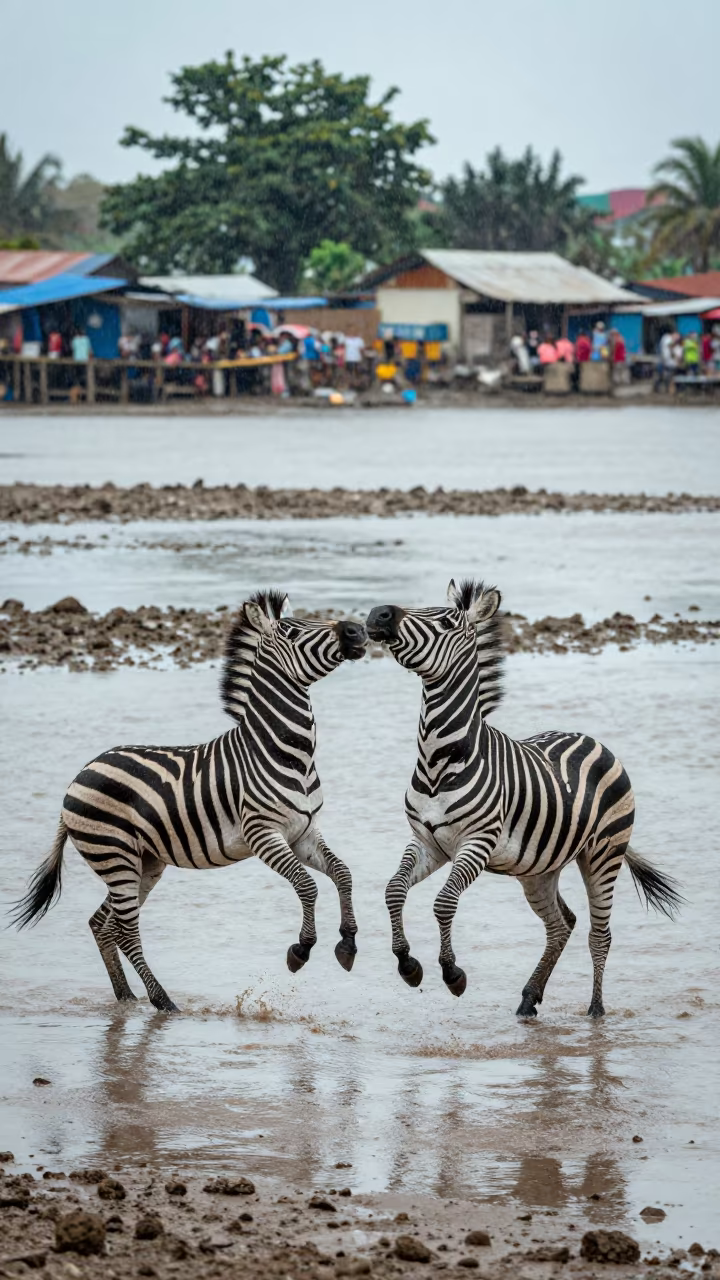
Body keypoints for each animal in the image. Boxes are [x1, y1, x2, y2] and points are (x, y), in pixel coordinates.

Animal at [13, 591, 367, 1012]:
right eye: (291, 630)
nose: (358, 630)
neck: (285, 752)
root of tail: (81, 773)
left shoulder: (304, 833)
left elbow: (343, 873)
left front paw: (348, 944)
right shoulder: (263, 832)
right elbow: (307, 885)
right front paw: (301, 949)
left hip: (144, 861)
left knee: (103, 923)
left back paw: (126, 997)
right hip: (114, 855)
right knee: (126, 930)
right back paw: (163, 1000)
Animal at [367, 579, 681, 1017]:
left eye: (445, 621)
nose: (377, 613)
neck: (437, 760)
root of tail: (591, 739)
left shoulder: (476, 843)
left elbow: (444, 902)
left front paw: (451, 973)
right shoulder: (428, 842)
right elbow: (394, 889)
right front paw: (407, 964)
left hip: (604, 853)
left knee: (599, 935)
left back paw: (596, 1011)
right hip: (539, 868)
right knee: (561, 923)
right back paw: (530, 998)